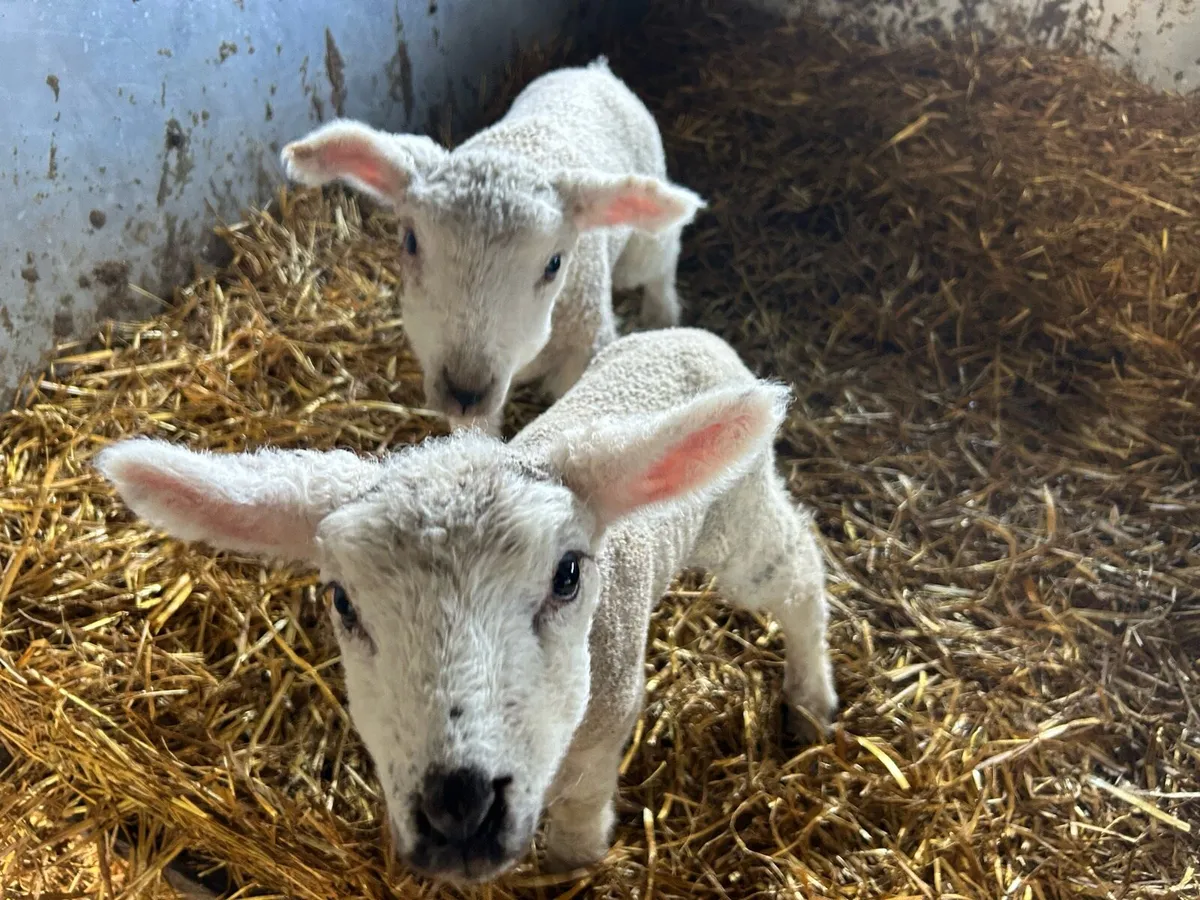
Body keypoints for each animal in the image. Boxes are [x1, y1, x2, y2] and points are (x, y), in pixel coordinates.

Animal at [95, 327, 838, 884]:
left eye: (568, 575)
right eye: (342, 601)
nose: (459, 808)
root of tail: (686, 334)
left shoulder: (611, 710)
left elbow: (581, 803)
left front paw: (575, 863)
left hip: (737, 515)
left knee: (798, 568)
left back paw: (812, 700)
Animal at [280, 58, 705, 435]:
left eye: (554, 264)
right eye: (411, 242)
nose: (465, 392)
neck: (518, 149)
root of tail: (594, 70)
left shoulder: (584, 349)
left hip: (644, 238)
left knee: (660, 264)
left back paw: (661, 316)